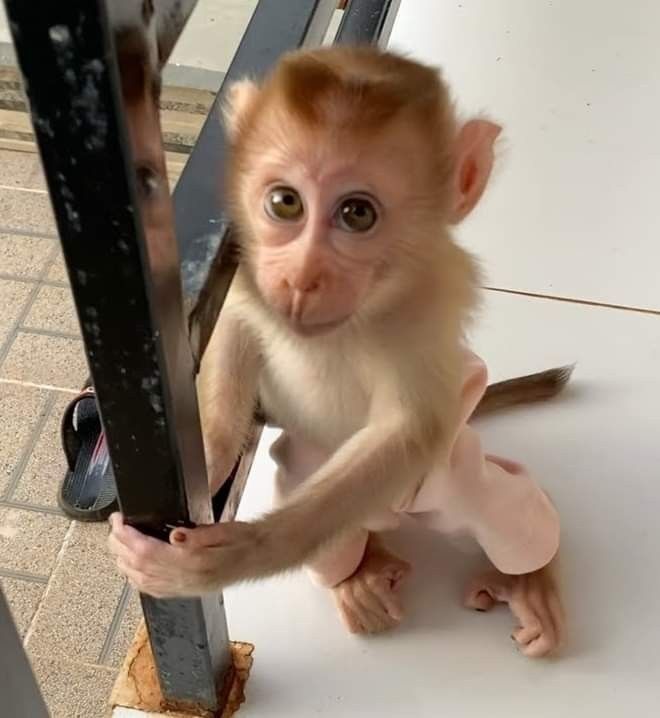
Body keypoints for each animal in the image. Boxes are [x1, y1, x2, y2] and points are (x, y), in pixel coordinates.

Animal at [109, 46, 569, 658]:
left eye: (357, 214)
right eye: (285, 203)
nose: (302, 279)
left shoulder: (428, 306)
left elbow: (408, 431)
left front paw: (227, 559)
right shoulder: (249, 267)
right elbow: (236, 327)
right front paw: (208, 450)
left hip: (448, 475)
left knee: (500, 508)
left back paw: (529, 576)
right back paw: (357, 574)